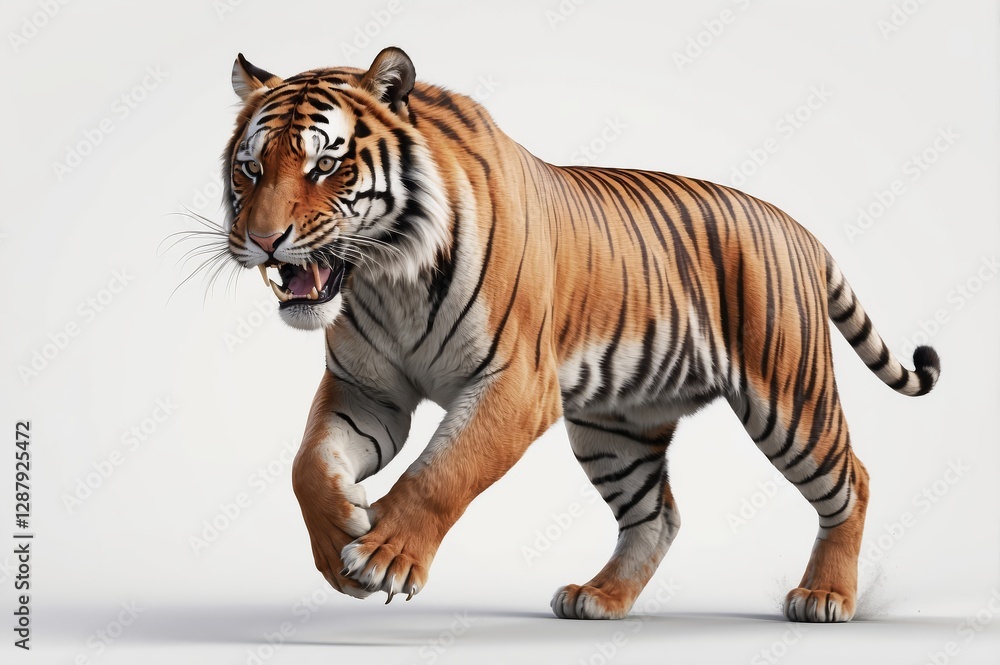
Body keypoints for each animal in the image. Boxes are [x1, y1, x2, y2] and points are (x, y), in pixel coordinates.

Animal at [220, 46, 940, 622]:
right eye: (250, 168)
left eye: (325, 167)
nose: (262, 239)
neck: (387, 276)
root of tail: (797, 228)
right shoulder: (369, 392)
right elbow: (308, 463)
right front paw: (337, 529)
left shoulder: (514, 383)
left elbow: (442, 470)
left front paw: (385, 555)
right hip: (615, 426)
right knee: (658, 515)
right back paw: (600, 597)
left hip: (790, 399)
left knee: (852, 480)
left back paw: (825, 597)